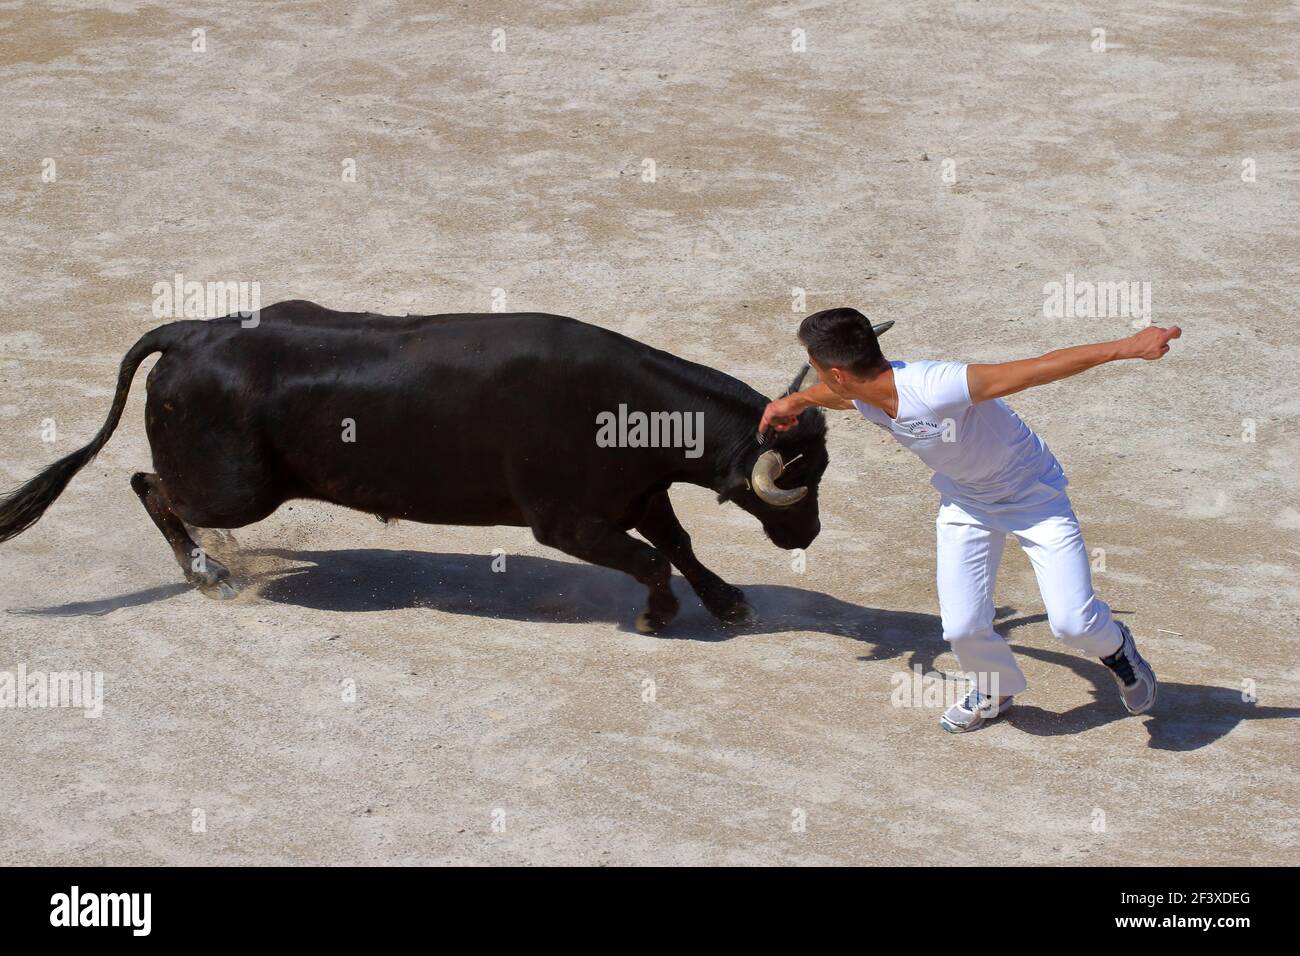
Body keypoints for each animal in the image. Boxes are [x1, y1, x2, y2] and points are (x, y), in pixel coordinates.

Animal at [0, 304, 883, 634]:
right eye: (801, 478)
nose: (808, 533)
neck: (625, 406)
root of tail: (190, 331)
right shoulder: (567, 522)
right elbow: (649, 558)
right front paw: (656, 614)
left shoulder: (638, 493)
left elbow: (678, 543)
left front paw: (727, 601)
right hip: (235, 490)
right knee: (151, 487)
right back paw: (208, 572)